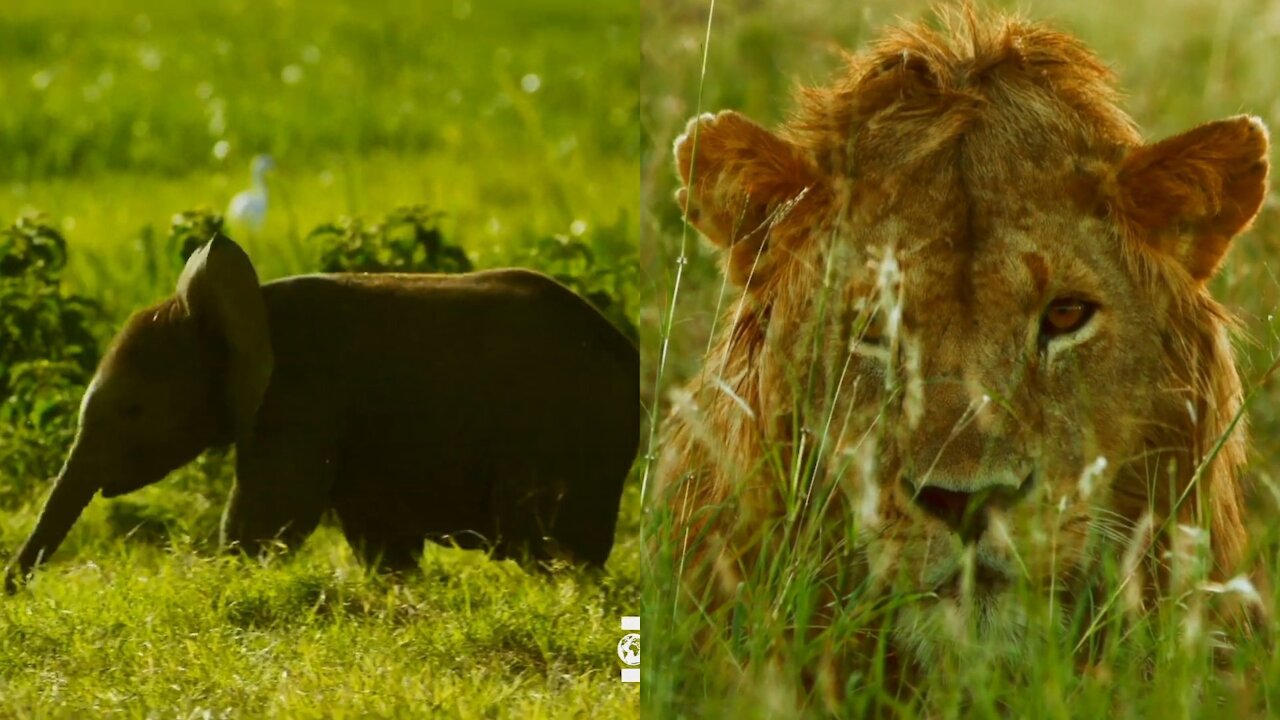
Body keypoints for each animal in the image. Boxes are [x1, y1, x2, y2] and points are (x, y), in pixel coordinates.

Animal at [3, 234, 634, 589]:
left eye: (132, 410)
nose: (15, 594)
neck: (239, 311)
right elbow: (382, 543)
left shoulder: (298, 400)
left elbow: (268, 522)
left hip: (564, 434)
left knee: (545, 545)